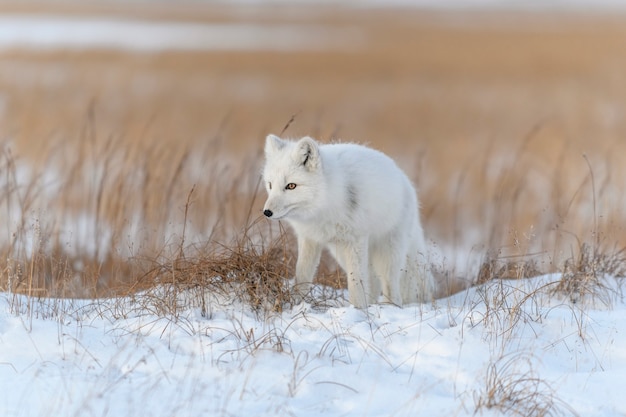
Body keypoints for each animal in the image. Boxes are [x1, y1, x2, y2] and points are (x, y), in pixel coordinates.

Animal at [260, 135, 432, 308]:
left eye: (291, 186)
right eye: (270, 185)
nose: (267, 212)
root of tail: (404, 178)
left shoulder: (356, 240)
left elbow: (355, 283)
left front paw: (357, 309)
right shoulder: (309, 239)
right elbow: (302, 275)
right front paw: (297, 303)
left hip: (387, 253)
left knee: (390, 287)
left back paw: (389, 307)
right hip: (341, 253)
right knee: (372, 282)